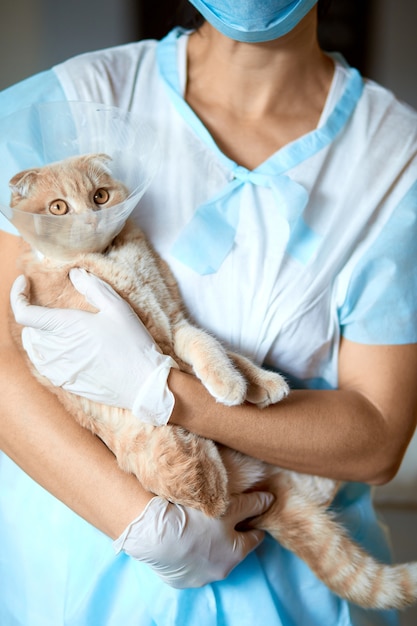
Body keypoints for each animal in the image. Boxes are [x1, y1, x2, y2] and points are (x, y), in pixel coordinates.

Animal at [8, 154, 416, 608]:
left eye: (100, 196)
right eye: (58, 207)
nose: (91, 219)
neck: (111, 257)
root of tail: (261, 490)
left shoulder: (174, 319)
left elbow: (214, 348)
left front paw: (257, 383)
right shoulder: (156, 335)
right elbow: (186, 363)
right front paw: (237, 388)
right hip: (180, 457)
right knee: (212, 498)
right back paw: (213, 506)